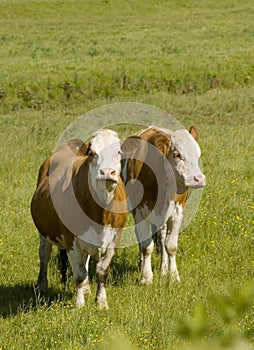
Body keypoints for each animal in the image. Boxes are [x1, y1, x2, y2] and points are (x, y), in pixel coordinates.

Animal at [30, 129, 127, 308]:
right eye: (93, 153)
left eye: (118, 152)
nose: (107, 172)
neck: (101, 213)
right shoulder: (71, 240)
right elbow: (79, 274)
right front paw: (79, 304)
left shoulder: (114, 239)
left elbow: (102, 271)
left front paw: (101, 302)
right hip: (43, 233)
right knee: (44, 255)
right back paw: (42, 286)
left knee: (85, 261)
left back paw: (87, 289)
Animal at [120, 125, 205, 284]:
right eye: (177, 154)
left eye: (198, 155)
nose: (199, 179)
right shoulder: (139, 212)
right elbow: (146, 246)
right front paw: (146, 277)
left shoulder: (178, 212)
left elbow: (170, 246)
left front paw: (173, 276)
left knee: (162, 237)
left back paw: (164, 270)